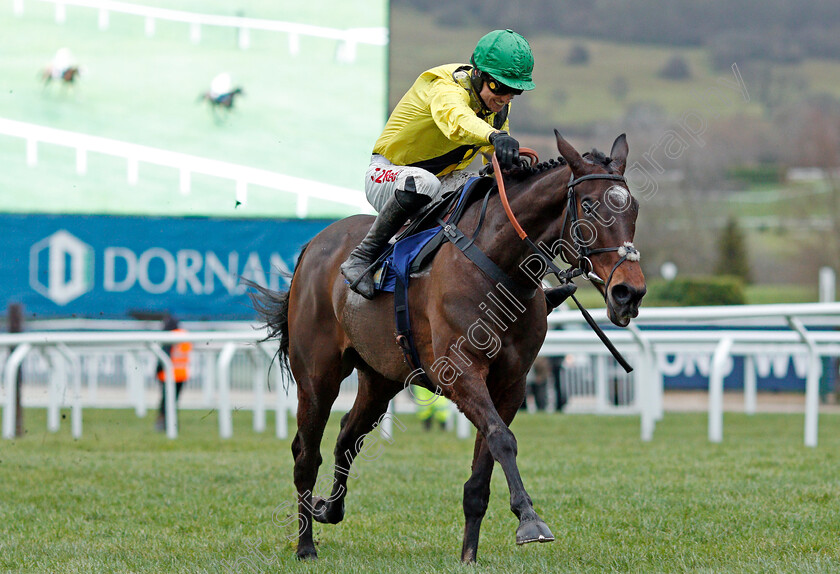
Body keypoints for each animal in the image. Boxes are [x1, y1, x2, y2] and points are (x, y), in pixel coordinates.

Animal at [248, 129, 644, 564]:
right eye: (589, 205)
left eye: (634, 208)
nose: (629, 292)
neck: (499, 265)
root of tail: (312, 246)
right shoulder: (461, 373)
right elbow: (502, 438)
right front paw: (529, 520)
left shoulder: (511, 383)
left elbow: (485, 462)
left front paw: (469, 554)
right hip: (317, 375)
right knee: (307, 453)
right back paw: (305, 545)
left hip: (380, 378)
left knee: (347, 437)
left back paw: (329, 509)